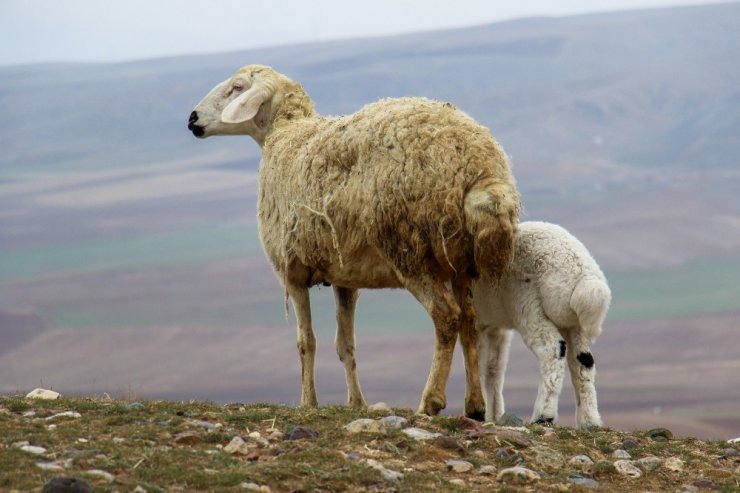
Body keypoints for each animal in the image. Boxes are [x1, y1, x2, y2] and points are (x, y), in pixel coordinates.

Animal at [186, 63, 520, 418]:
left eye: (237, 87)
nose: (192, 118)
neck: (286, 135)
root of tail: (480, 169)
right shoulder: (344, 278)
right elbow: (345, 344)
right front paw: (357, 402)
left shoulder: (292, 271)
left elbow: (306, 342)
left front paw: (308, 401)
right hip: (460, 261)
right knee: (469, 320)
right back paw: (474, 406)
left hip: (409, 249)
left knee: (446, 317)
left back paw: (430, 401)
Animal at [474, 221, 612, 428]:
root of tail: (583, 273)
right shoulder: (495, 327)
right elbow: (493, 368)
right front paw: (494, 415)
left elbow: (478, 364)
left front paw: (479, 412)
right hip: (572, 323)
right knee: (583, 362)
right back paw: (589, 421)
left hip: (529, 308)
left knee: (553, 351)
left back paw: (543, 415)